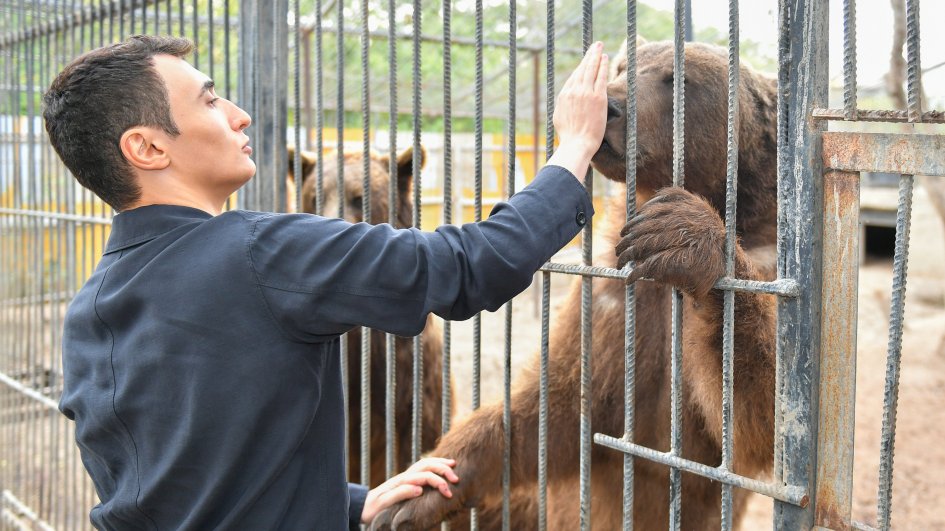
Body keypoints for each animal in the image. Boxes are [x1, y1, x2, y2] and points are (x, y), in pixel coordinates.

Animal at [370, 38, 780, 531]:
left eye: (680, 79)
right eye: (622, 69)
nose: (612, 107)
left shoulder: (762, 263)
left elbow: (754, 419)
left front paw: (684, 232)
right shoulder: (613, 295)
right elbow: (559, 403)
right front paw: (417, 491)